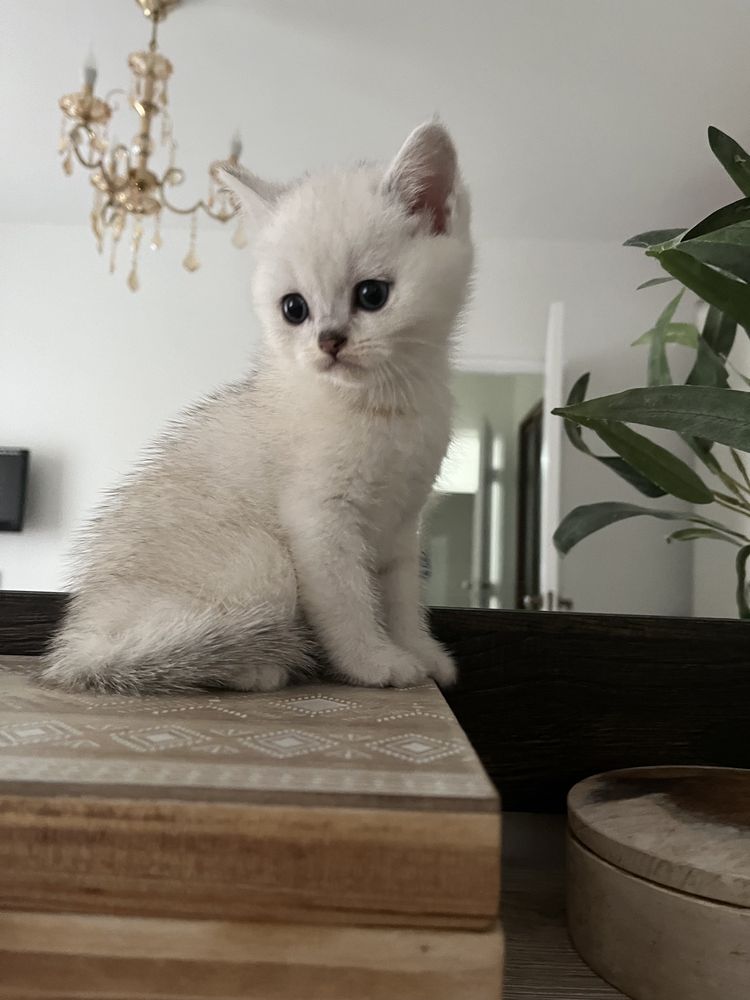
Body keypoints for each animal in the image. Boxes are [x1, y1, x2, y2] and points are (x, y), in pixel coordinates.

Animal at [41, 121, 472, 692]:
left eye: (372, 295)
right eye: (294, 309)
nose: (329, 342)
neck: (386, 406)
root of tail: (78, 645)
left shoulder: (403, 528)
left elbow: (403, 601)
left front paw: (423, 654)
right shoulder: (318, 521)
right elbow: (347, 604)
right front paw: (375, 663)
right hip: (262, 557)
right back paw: (254, 666)